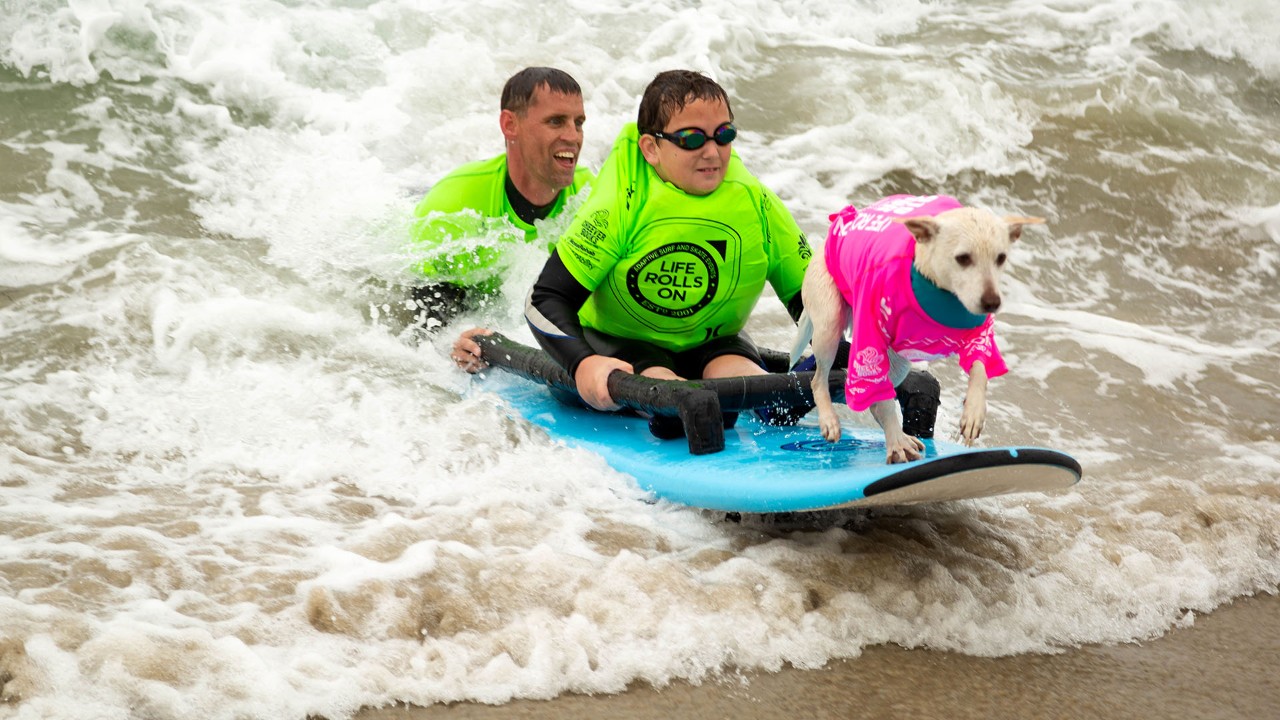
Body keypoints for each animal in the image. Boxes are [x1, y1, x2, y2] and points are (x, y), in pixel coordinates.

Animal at [793, 193, 1044, 461]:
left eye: (1001, 258)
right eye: (963, 258)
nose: (992, 303)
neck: (941, 290)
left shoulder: (977, 333)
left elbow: (979, 368)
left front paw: (973, 413)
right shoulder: (869, 341)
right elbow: (877, 393)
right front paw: (895, 444)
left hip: (899, 363)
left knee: (878, 399)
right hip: (829, 323)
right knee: (820, 379)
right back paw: (832, 420)